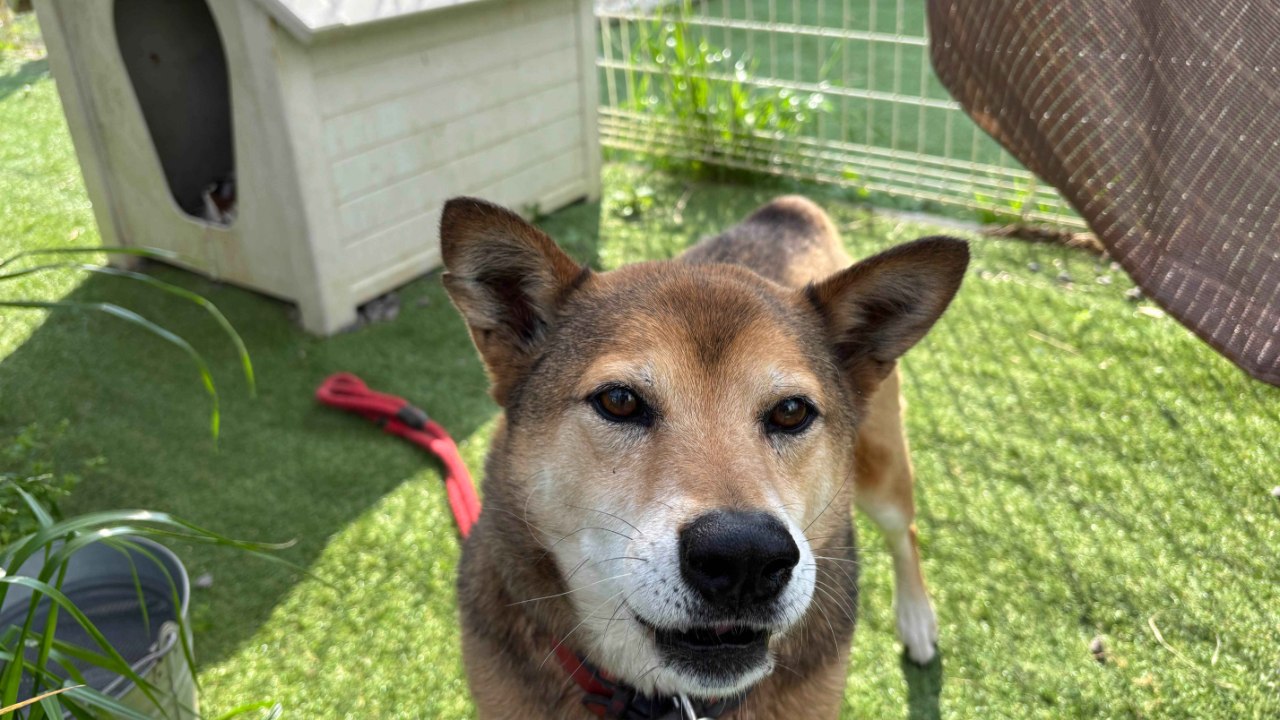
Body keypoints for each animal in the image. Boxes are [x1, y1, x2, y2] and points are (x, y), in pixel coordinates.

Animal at [440, 195, 968, 719]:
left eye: (792, 411)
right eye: (619, 401)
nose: (745, 556)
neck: (666, 700)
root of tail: (788, 208)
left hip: (881, 471)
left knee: (905, 532)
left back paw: (917, 619)